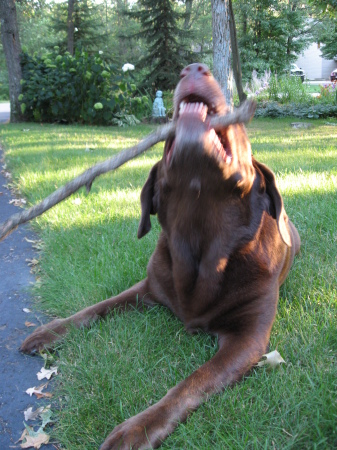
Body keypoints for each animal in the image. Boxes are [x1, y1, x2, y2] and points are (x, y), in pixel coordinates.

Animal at [21, 64, 300, 450]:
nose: (194, 67)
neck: (201, 239)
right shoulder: (148, 287)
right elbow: (97, 307)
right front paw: (50, 331)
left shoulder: (249, 339)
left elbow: (194, 381)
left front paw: (136, 428)